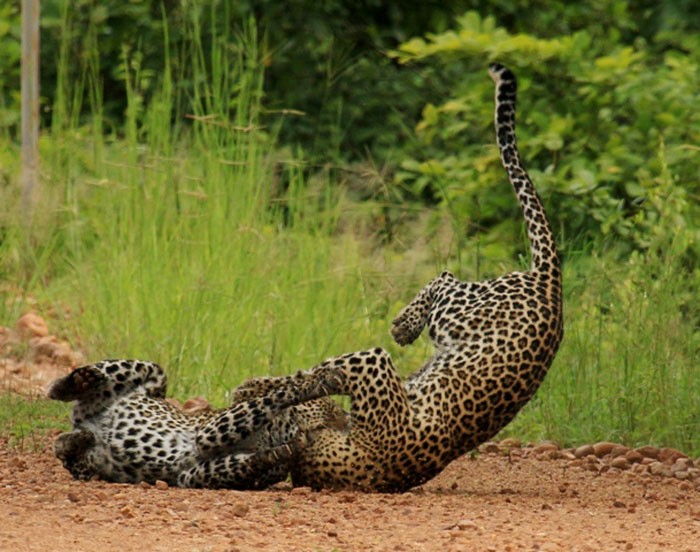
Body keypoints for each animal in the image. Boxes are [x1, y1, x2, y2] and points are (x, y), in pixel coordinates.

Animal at [47, 360, 346, 490]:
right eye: (331, 407)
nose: (346, 417)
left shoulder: (193, 474)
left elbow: (249, 462)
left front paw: (285, 450)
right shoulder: (209, 432)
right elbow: (274, 396)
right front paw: (321, 381)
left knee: (73, 454)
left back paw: (73, 441)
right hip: (151, 375)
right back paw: (74, 383)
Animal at [194, 63, 568, 492]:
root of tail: (552, 286)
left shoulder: (372, 364)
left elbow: (316, 373)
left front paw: (258, 387)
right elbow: (316, 378)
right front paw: (263, 388)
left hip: (458, 314)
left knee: (444, 279)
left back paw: (403, 326)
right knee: (445, 276)